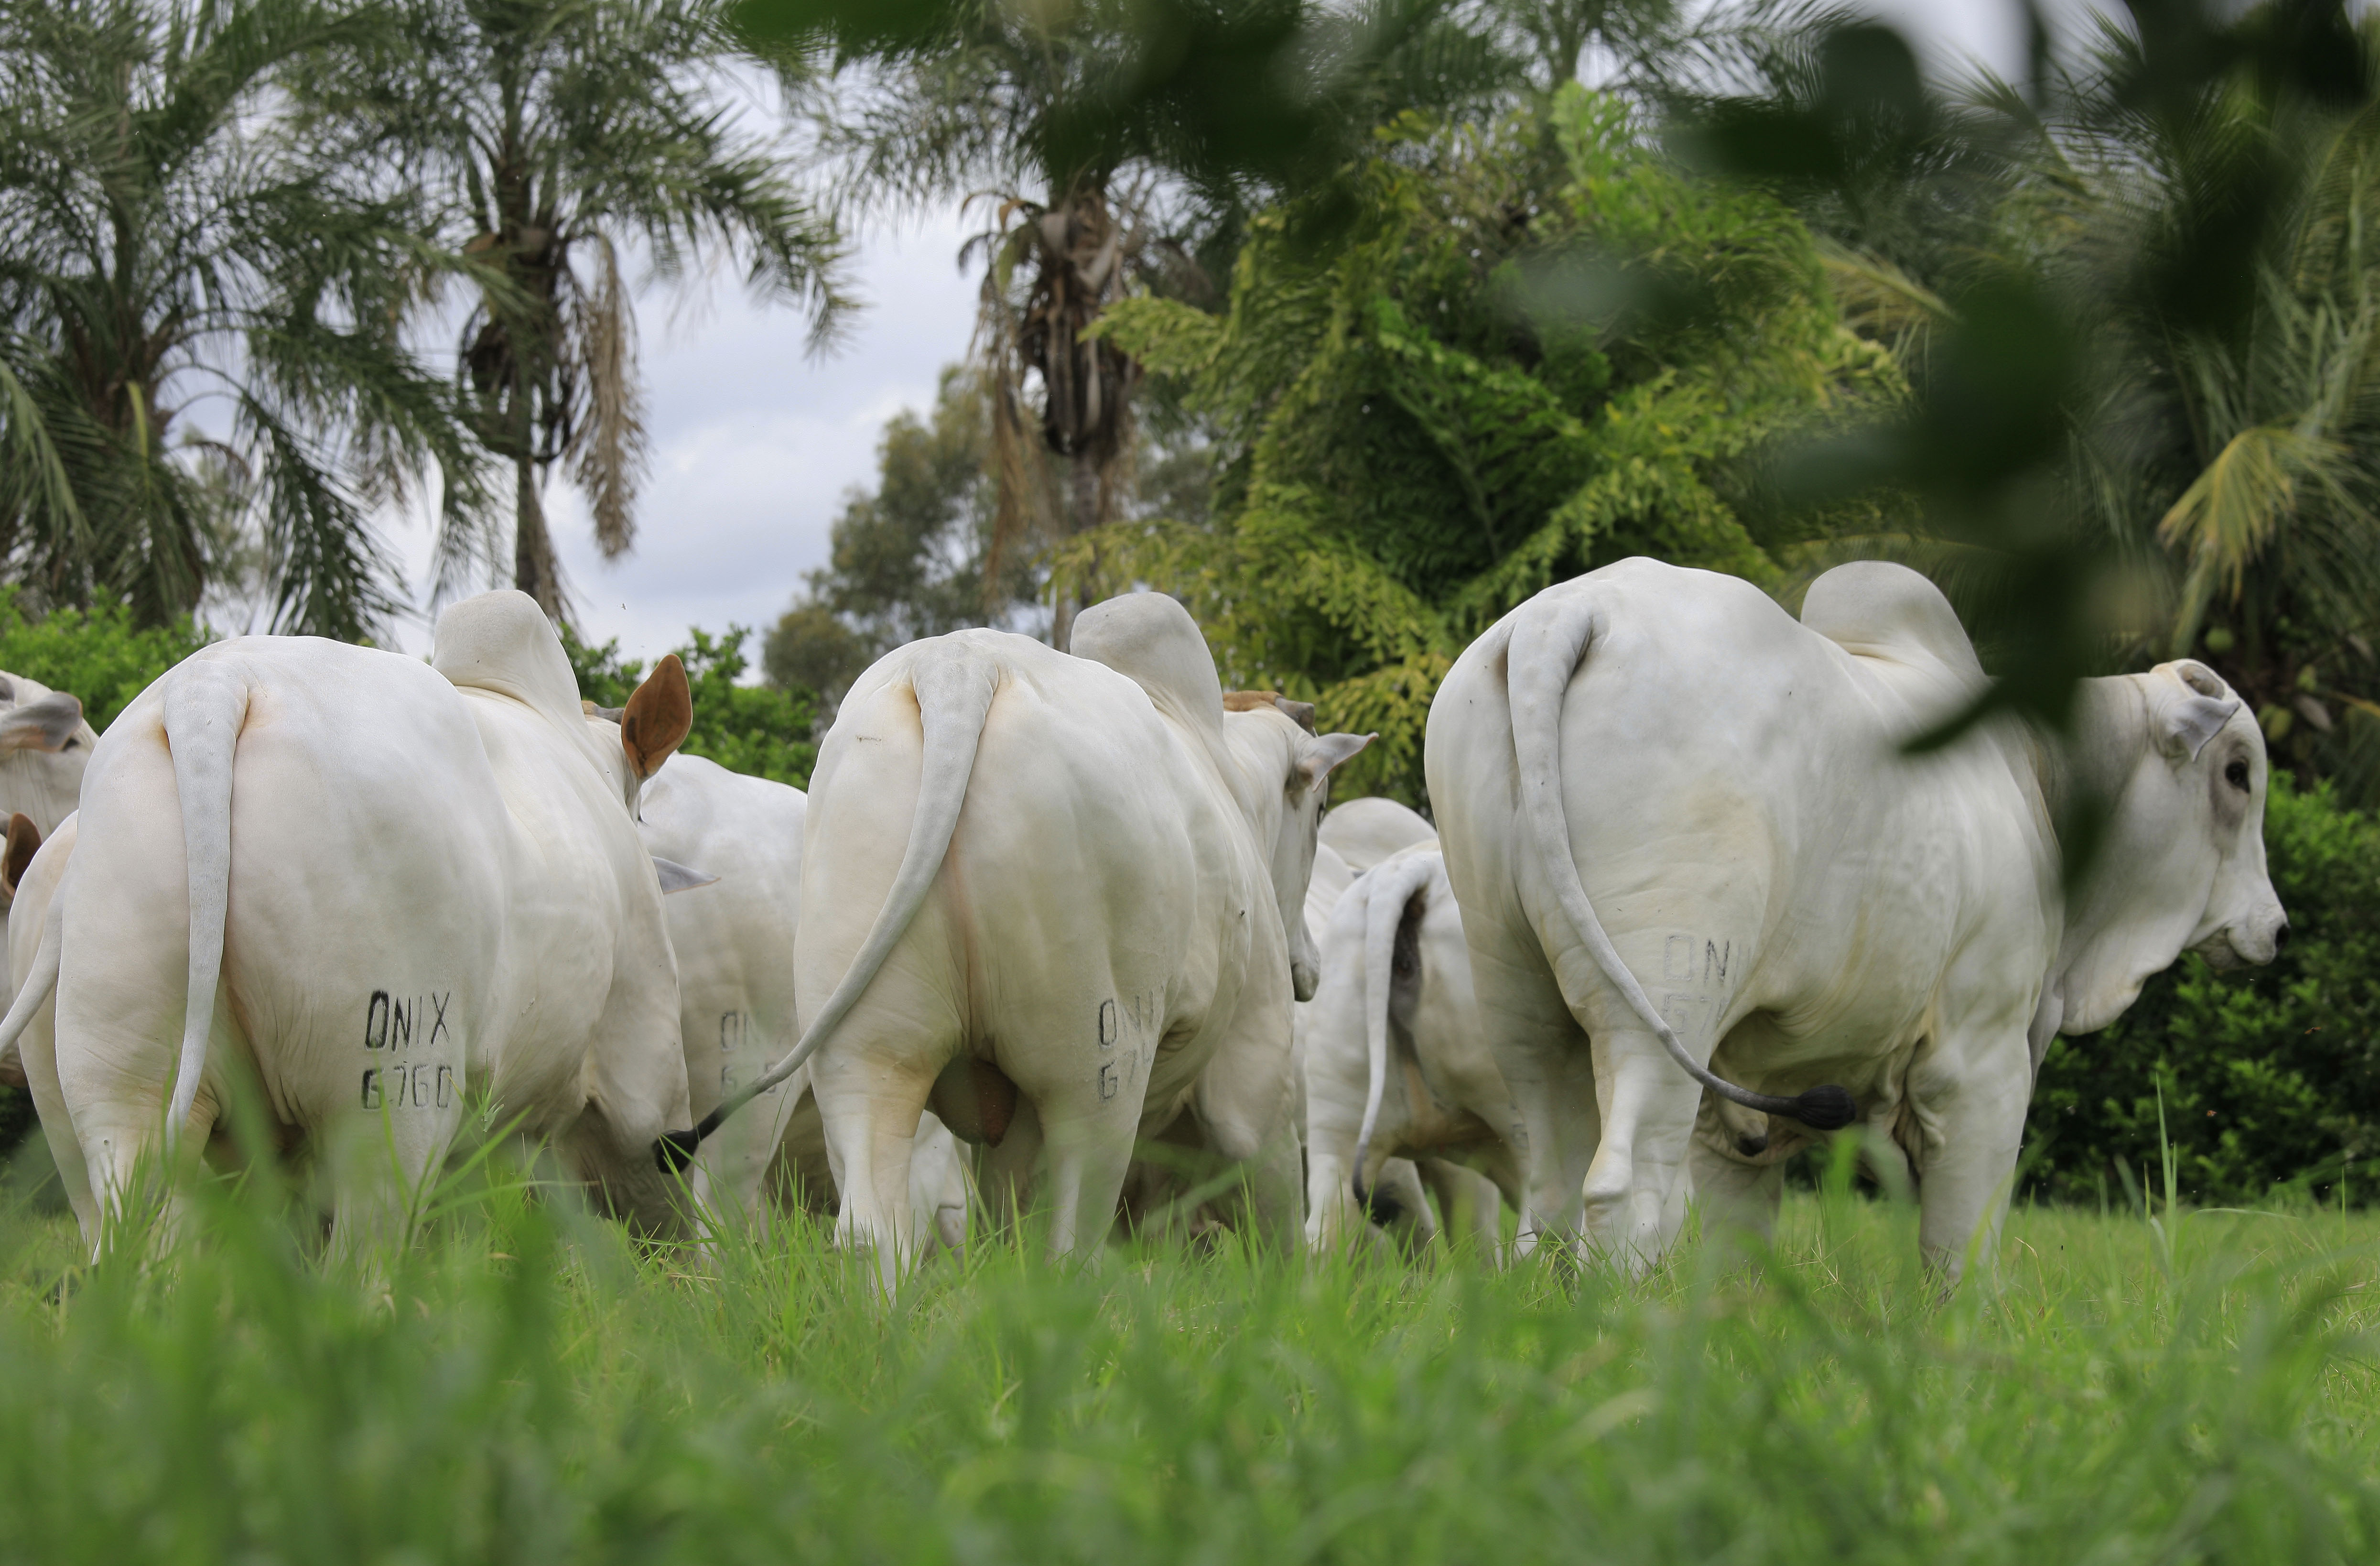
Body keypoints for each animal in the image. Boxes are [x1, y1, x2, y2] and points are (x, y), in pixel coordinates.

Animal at [690, 592, 1361, 1275]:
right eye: (1321, 809)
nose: (1309, 967)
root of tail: (958, 667)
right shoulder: (1256, 1073)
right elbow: (1276, 1219)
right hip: (1098, 1073)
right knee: (1072, 1244)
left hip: (862, 1056)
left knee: (873, 1226)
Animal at [1428, 557, 2284, 1266]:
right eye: (2238, 773)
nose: (2274, 929)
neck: (2035, 771)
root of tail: (1570, 612)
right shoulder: (1981, 1059)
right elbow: (1960, 1253)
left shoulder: (1734, 1113)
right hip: (1663, 1003)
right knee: (1626, 1190)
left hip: (1523, 1003)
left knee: (1549, 1194)